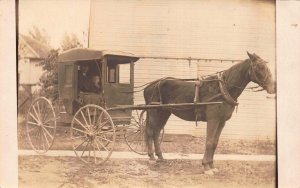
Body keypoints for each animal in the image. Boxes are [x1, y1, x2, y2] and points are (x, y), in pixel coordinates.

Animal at [143, 51, 276, 175]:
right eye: (260, 67)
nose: (273, 87)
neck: (223, 89)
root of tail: (148, 87)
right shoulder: (213, 119)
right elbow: (209, 141)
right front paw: (206, 167)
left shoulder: (221, 121)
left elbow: (215, 143)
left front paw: (212, 166)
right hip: (154, 112)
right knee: (150, 132)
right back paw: (151, 157)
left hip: (164, 113)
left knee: (156, 132)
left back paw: (160, 156)